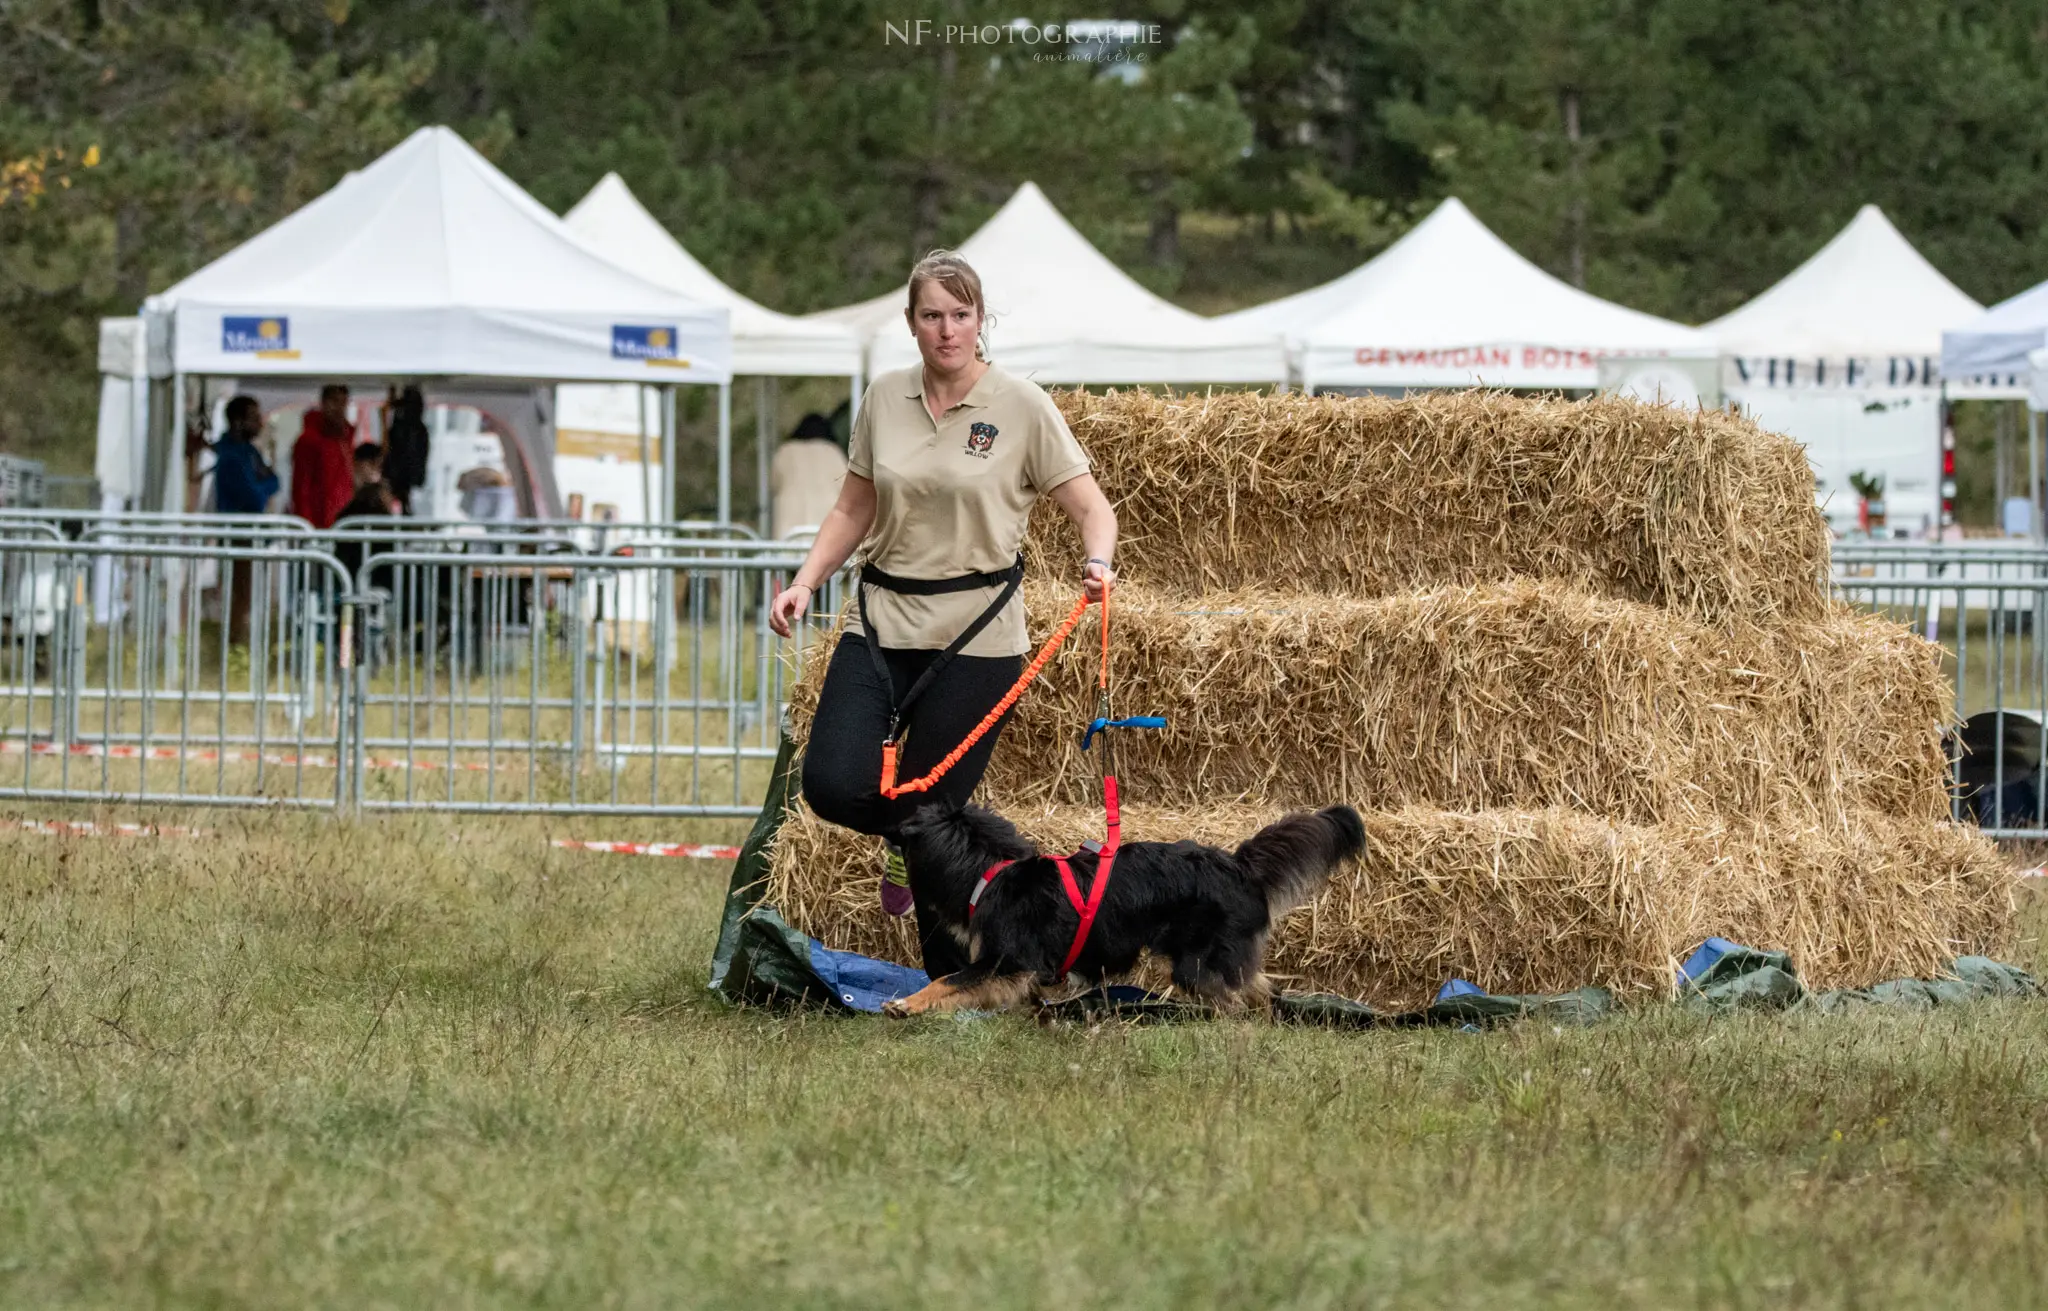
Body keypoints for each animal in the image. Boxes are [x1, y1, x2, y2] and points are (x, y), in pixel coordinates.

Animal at [888, 798, 1368, 1024]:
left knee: (1233, 1003)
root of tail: (1238, 865)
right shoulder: (1020, 971)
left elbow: (948, 980)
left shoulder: (1006, 960)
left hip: (1195, 965)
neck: (992, 869)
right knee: (1263, 990)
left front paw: (906, 1005)